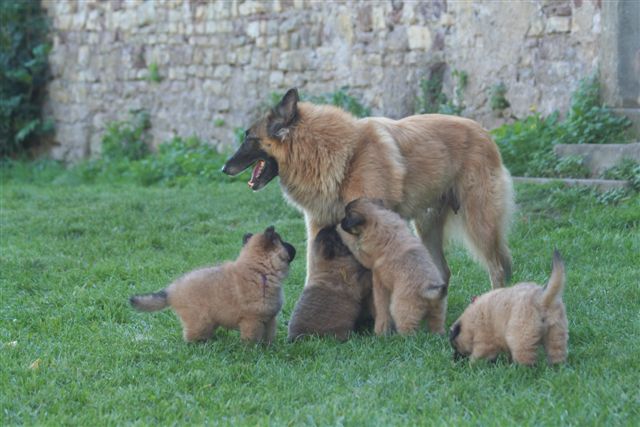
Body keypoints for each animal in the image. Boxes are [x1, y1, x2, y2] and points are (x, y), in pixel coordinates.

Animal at [131, 227, 300, 344]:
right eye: (283, 242)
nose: (295, 247)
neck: (259, 271)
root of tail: (170, 291)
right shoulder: (252, 321)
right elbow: (252, 339)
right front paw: (253, 351)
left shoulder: (270, 319)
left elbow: (269, 335)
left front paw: (269, 347)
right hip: (200, 320)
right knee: (191, 335)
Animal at [222, 90, 512, 290]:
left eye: (249, 137)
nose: (223, 168)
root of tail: (484, 132)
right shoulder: (318, 227)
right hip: (427, 226)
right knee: (444, 271)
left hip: (479, 223)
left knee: (497, 268)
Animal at [338, 199, 448, 336]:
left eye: (346, 216)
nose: (340, 221)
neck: (377, 217)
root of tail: (428, 290)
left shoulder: (366, 257)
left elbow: (354, 246)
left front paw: (339, 230)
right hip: (438, 310)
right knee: (437, 324)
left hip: (402, 308)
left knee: (408, 329)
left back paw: (402, 338)